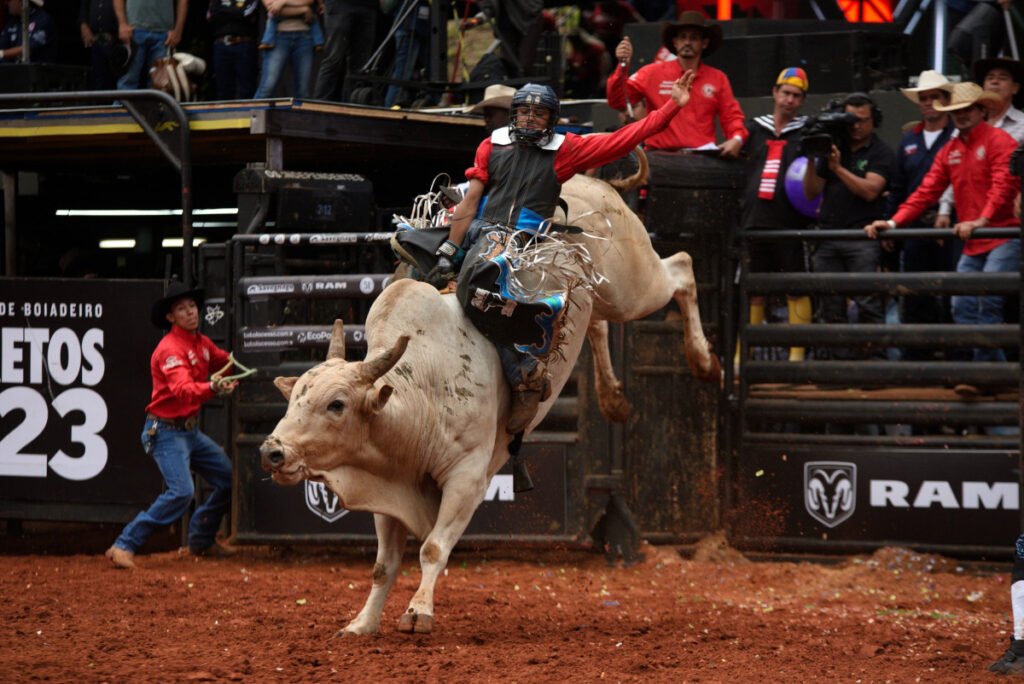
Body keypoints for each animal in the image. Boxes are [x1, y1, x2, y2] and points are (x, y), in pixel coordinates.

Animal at [258, 171, 720, 634]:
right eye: (293, 398)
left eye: (336, 404)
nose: (272, 451)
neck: (423, 391)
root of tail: (589, 180)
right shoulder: (386, 484)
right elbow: (382, 566)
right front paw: (362, 623)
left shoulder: (467, 478)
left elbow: (432, 548)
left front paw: (418, 612)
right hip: (602, 295)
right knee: (599, 324)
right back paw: (615, 400)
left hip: (632, 281)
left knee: (681, 269)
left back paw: (705, 363)